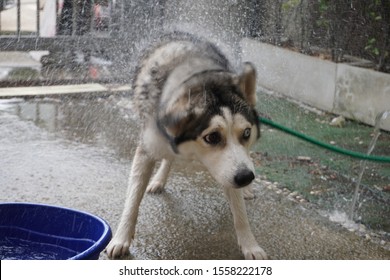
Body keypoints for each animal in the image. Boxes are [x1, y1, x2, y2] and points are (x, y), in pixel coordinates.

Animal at [105, 32, 266, 260]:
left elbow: (239, 211)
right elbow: (132, 200)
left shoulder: (231, 166)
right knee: (168, 157)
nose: (246, 178)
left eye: (246, 133)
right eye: (212, 137)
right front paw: (121, 238)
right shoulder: (147, 148)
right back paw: (159, 180)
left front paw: (250, 245)